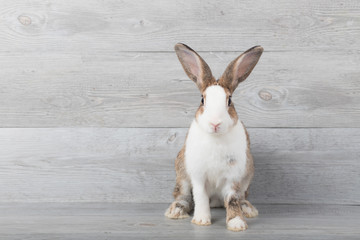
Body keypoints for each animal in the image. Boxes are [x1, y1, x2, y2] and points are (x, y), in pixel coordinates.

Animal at [165, 42, 262, 231]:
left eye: (229, 100)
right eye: (202, 100)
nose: (215, 123)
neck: (216, 138)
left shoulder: (234, 177)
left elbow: (232, 200)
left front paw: (236, 223)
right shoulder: (198, 176)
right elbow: (200, 197)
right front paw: (201, 220)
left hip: (248, 175)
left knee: (240, 198)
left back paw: (247, 209)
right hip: (182, 174)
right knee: (183, 196)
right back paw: (176, 211)